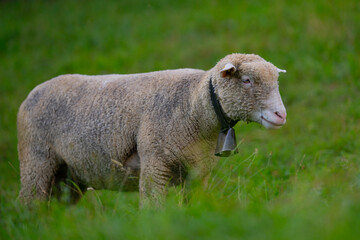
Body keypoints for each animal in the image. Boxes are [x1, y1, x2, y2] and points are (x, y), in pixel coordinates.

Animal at [17, 53, 286, 207]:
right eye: (247, 80)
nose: (281, 115)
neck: (192, 105)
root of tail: (33, 92)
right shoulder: (155, 165)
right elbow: (152, 209)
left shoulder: (198, 174)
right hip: (36, 160)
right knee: (29, 204)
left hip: (68, 176)